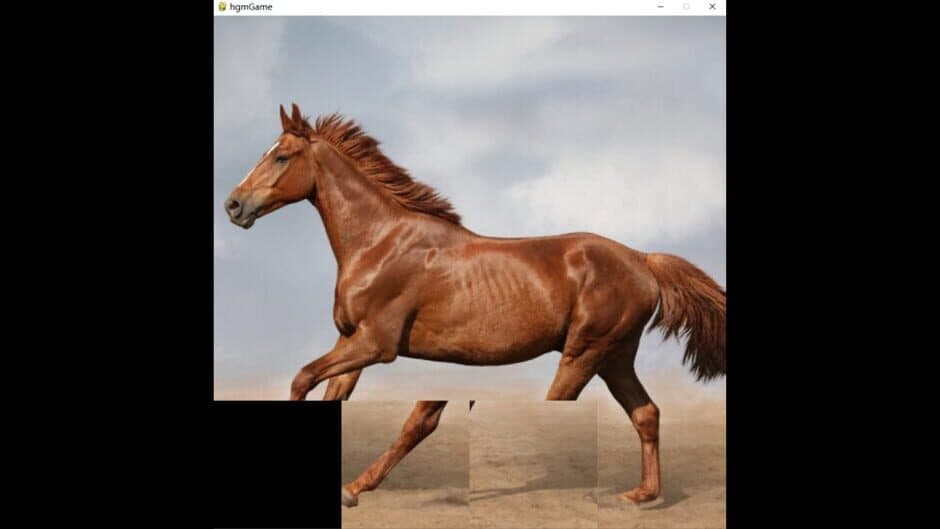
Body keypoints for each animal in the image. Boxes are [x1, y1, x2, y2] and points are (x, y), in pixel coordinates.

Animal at [224, 103, 726, 508]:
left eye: (281, 156)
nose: (233, 205)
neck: (380, 242)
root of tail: (642, 259)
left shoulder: (375, 344)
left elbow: (302, 379)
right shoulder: (351, 341)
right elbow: (340, 397)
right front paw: (351, 489)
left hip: (585, 353)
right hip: (614, 357)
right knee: (646, 414)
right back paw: (641, 495)